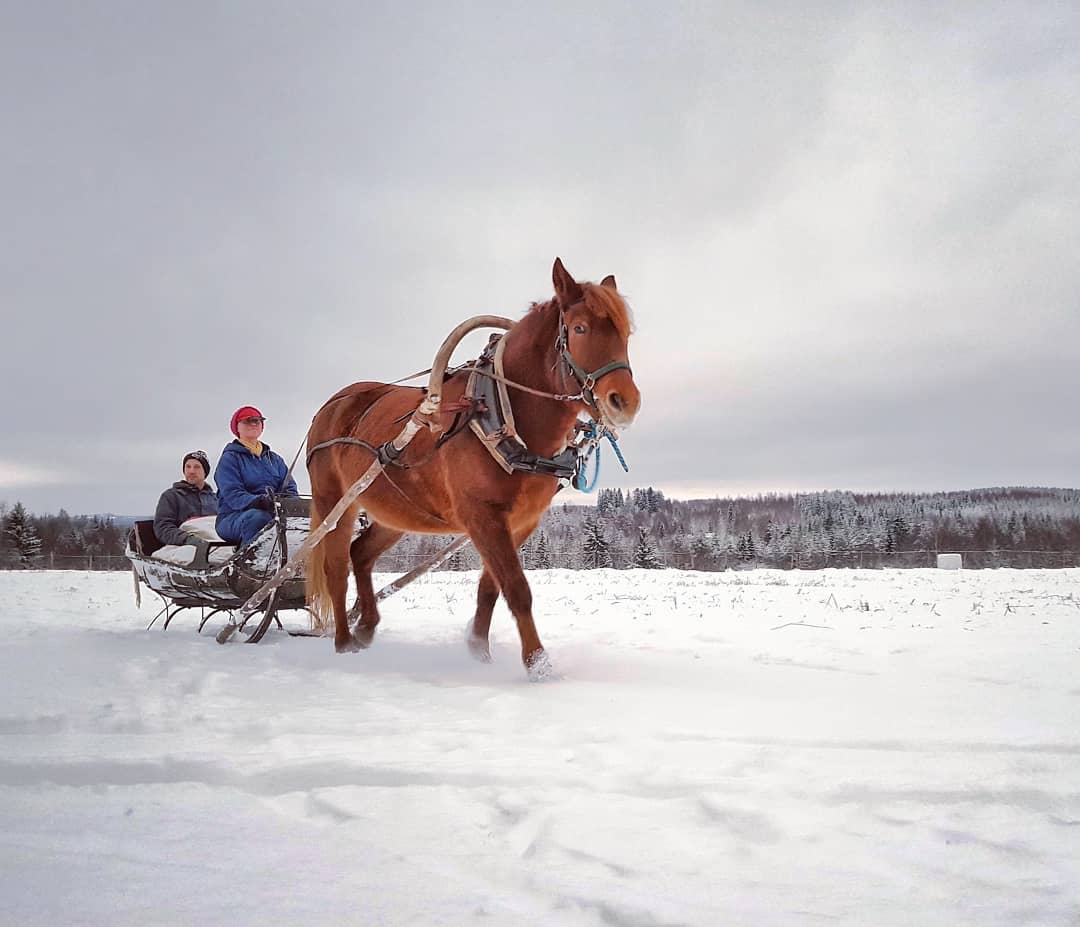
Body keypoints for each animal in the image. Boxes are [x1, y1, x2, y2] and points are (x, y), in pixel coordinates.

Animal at [305, 258, 641, 678]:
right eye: (579, 328)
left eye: (625, 333)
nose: (625, 402)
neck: (503, 413)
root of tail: (331, 405)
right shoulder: (481, 514)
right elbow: (516, 587)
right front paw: (538, 664)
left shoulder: (522, 520)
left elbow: (491, 587)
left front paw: (478, 649)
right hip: (336, 501)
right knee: (336, 566)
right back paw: (344, 641)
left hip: (397, 511)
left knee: (361, 554)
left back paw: (366, 626)